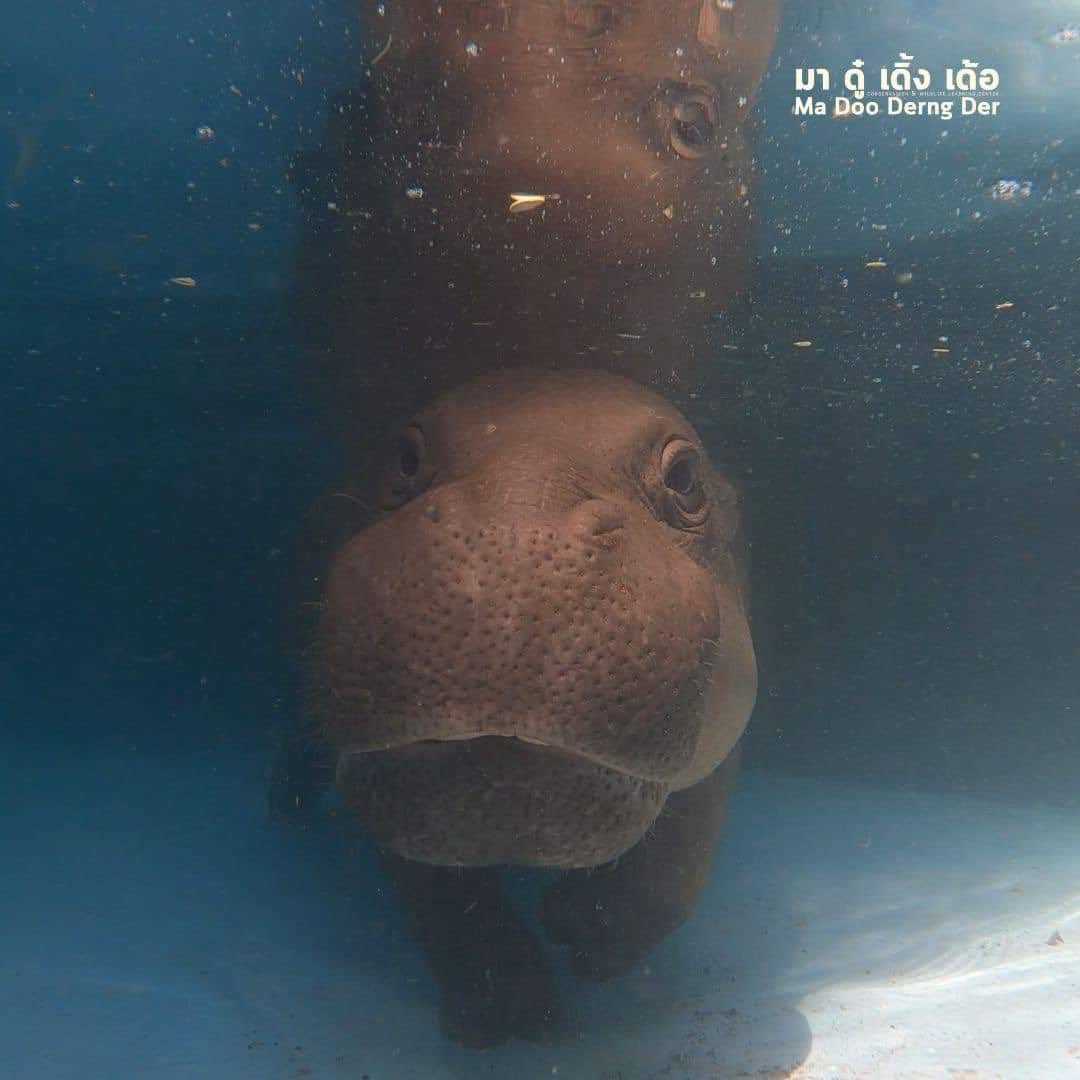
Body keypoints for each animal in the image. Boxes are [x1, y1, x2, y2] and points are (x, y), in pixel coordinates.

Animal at [272, 0, 777, 1049]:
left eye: (687, 476)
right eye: (402, 456)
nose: (514, 524)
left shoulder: (729, 718)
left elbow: (683, 860)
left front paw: (590, 933)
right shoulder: (381, 772)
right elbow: (439, 895)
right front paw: (513, 1011)